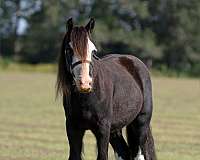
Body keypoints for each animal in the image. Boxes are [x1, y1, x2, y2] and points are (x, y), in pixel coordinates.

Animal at [56, 17, 156, 160]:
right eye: (69, 50)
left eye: (93, 51)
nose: (85, 83)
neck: (87, 97)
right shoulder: (73, 128)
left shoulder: (103, 129)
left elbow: (102, 156)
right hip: (115, 129)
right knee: (124, 152)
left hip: (140, 123)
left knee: (139, 154)